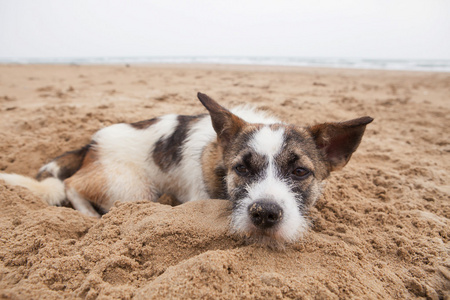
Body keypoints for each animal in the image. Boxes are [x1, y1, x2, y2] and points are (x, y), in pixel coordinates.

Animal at [0, 93, 372, 244]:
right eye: (241, 168)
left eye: (300, 173)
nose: (265, 214)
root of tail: (89, 145)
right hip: (132, 188)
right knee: (71, 184)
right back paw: (89, 213)